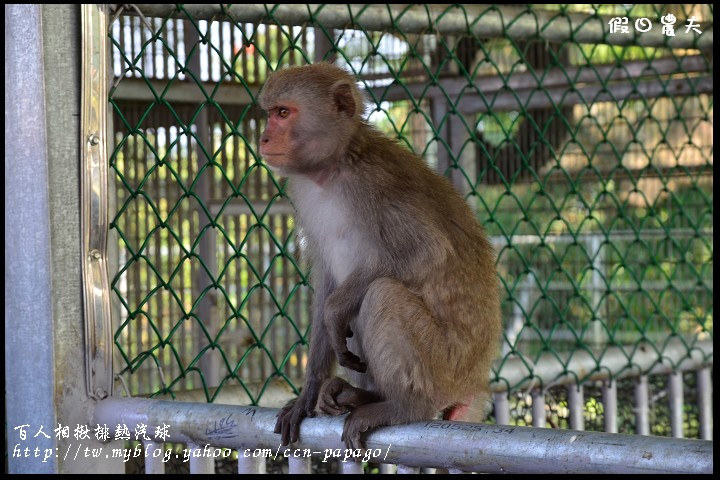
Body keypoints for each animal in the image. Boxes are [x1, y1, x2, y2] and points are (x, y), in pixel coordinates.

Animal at [258, 61, 500, 450]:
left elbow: (427, 252)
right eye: (269, 114)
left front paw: (335, 310)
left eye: (283, 113)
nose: (263, 139)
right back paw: (362, 395)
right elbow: (327, 284)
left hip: (444, 367)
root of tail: (474, 380)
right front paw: (307, 393)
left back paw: (403, 406)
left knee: (381, 294)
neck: (335, 167)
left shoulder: (373, 184)